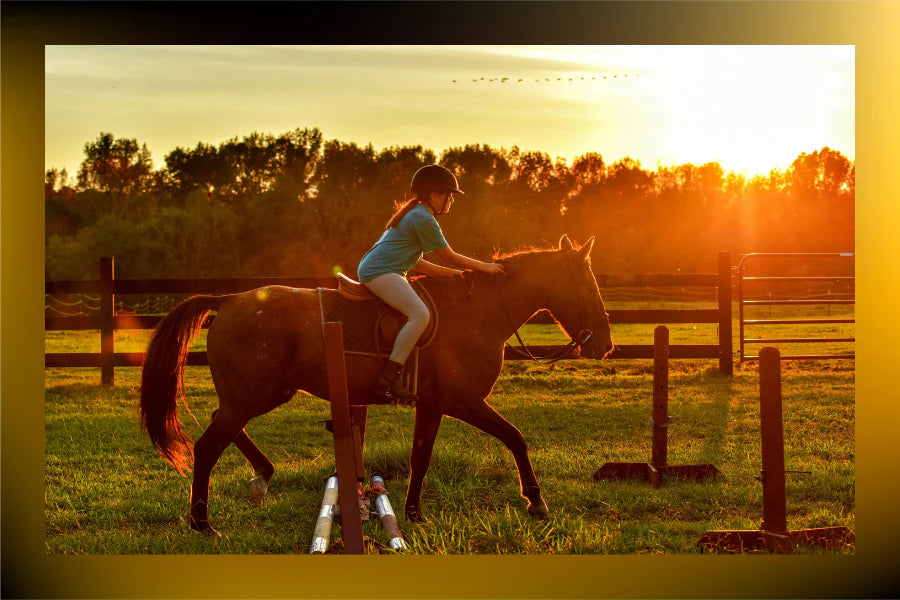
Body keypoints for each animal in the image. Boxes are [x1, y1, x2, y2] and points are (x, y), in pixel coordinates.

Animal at [139, 234, 613, 535]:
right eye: (587, 286)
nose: (605, 345)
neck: (477, 313)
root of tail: (230, 301)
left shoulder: (434, 404)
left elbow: (422, 456)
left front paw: (414, 513)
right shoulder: (461, 400)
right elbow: (514, 437)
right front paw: (536, 501)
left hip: (259, 394)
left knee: (225, 426)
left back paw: (261, 476)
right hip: (253, 395)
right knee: (208, 446)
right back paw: (203, 523)